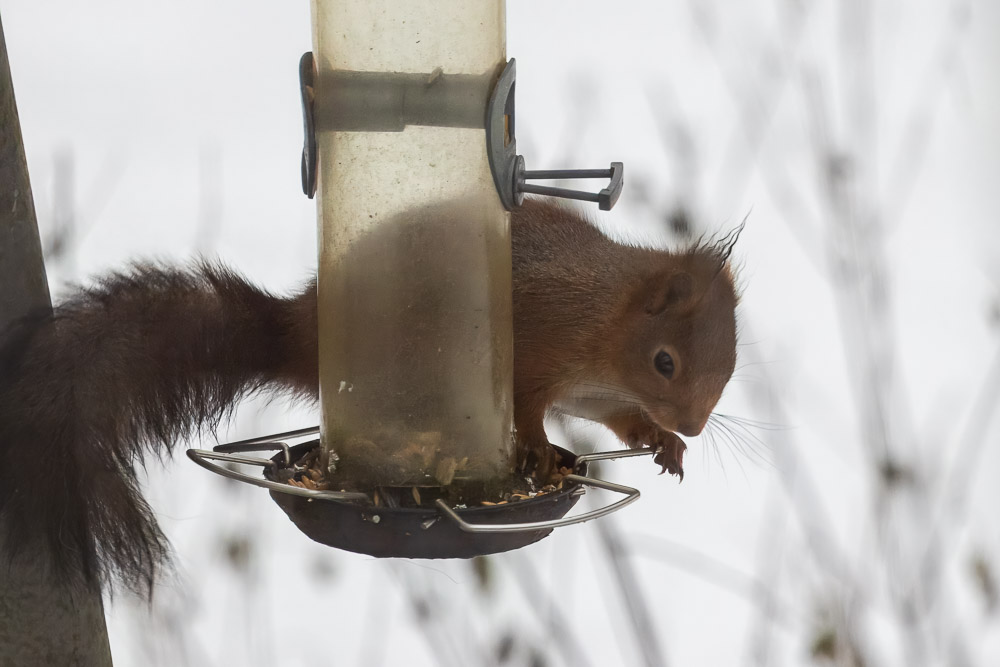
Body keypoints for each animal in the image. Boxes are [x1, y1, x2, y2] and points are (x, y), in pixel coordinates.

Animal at [0, 198, 740, 588]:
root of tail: (301, 330)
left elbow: (622, 420)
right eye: (665, 361)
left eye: (730, 367)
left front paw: (665, 446)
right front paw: (538, 447)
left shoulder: (599, 394)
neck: (605, 319)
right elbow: (530, 406)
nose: (695, 426)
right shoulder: (540, 346)